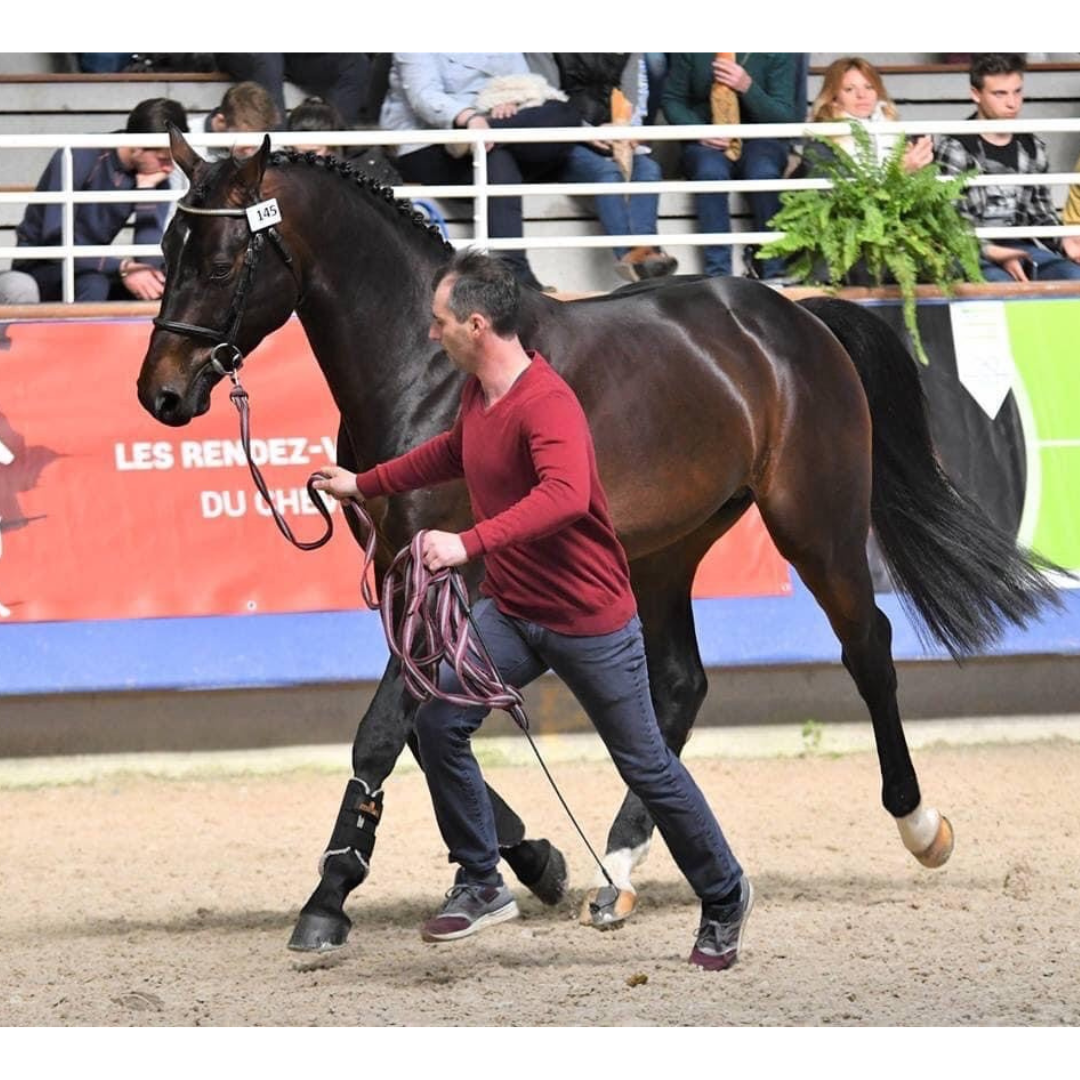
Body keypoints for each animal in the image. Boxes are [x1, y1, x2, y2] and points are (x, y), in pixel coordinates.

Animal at [137, 128, 1061, 953]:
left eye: (220, 260)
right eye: (167, 246)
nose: (161, 394)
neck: (428, 374)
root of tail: (794, 320)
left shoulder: (452, 577)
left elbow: (387, 731)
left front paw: (330, 897)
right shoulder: (406, 580)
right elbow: (423, 730)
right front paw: (534, 859)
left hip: (815, 523)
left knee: (866, 646)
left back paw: (920, 825)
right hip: (664, 551)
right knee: (679, 687)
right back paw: (616, 869)